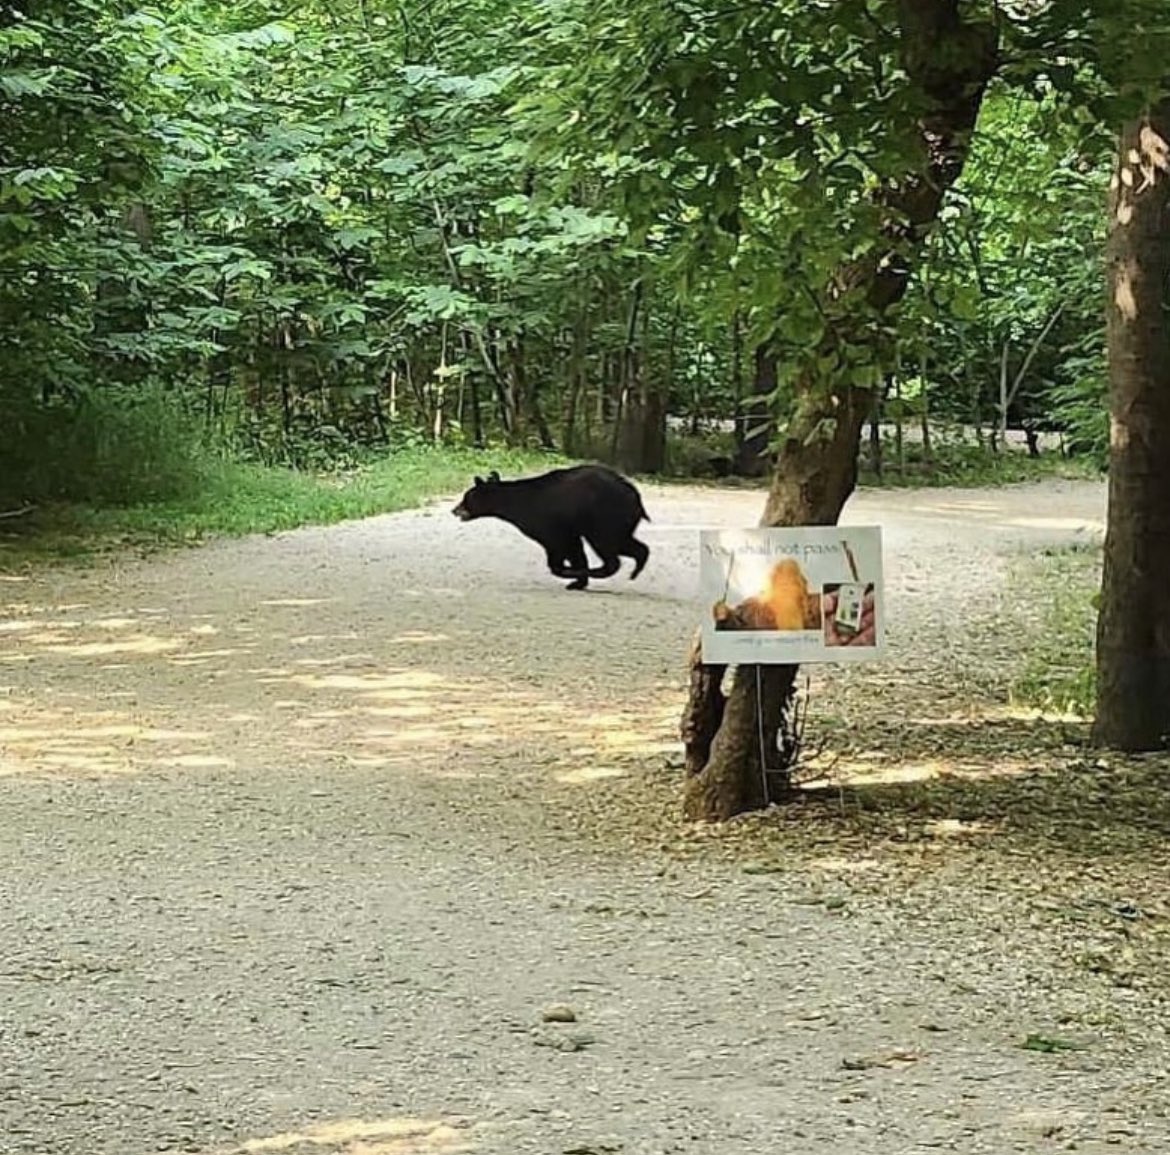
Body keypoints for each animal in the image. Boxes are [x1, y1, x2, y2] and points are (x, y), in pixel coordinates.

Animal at [452, 464, 651, 591]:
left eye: (466, 497)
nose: (454, 510)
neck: (516, 503)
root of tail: (635, 496)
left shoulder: (550, 525)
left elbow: (558, 552)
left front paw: (570, 573)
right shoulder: (568, 529)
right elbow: (575, 551)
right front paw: (578, 582)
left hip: (605, 517)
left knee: (608, 548)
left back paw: (594, 571)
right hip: (619, 521)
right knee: (628, 544)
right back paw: (635, 569)